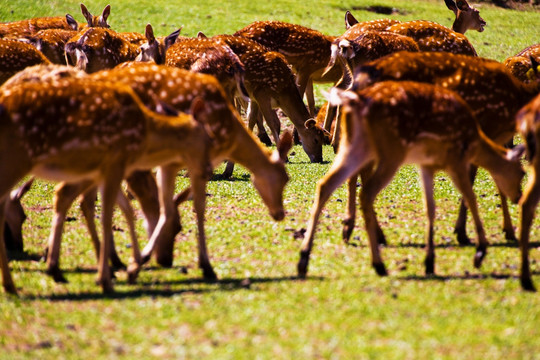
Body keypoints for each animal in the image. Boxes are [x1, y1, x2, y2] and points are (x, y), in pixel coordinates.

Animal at [0, 75, 215, 292]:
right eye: (178, 227)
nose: (167, 261)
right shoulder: (114, 165)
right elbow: (105, 214)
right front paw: (111, 272)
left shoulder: (100, 170)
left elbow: (117, 207)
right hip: (15, 160)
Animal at [298, 81, 524, 278]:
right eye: (522, 172)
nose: (519, 197)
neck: (475, 142)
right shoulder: (455, 160)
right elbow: (471, 198)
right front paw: (479, 252)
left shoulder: (427, 165)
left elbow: (430, 207)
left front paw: (430, 262)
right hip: (391, 152)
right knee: (366, 193)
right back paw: (379, 263)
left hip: (355, 146)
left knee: (326, 184)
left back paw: (304, 259)